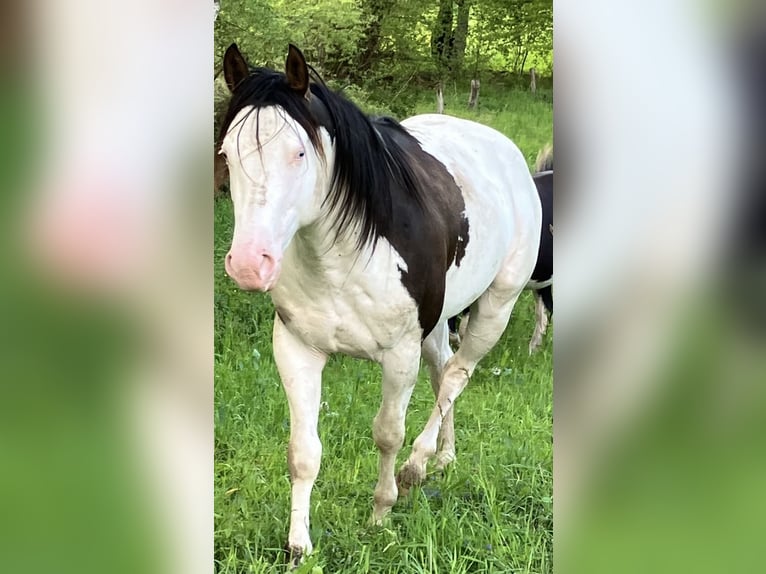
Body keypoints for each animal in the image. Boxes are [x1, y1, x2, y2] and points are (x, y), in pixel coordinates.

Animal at [218, 43, 542, 564]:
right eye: (227, 153)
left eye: (300, 153)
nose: (250, 264)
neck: (342, 255)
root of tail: (506, 151)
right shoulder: (296, 350)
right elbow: (303, 452)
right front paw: (298, 545)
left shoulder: (398, 356)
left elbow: (388, 433)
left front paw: (380, 512)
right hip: (438, 324)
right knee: (443, 370)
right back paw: (444, 455)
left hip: (496, 306)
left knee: (457, 376)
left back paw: (419, 464)